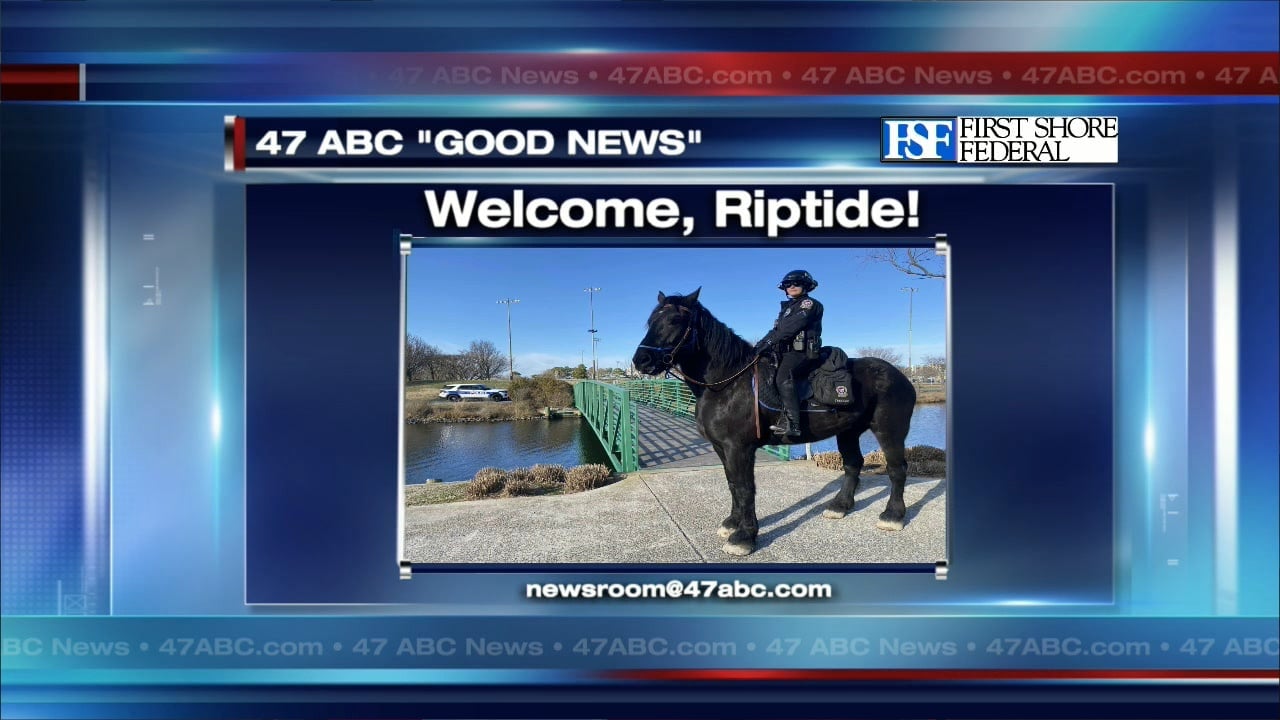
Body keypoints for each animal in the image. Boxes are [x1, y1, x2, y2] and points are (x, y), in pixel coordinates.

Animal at [632, 286, 916, 556]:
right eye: (651, 321)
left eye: (675, 320)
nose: (640, 360)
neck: (727, 383)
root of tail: (901, 376)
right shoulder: (721, 447)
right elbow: (732, 484)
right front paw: (732, 523)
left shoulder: (739, 448)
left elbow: (745, 488)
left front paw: (744, 537)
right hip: (848, 431)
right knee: (853, 465)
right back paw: (840, 506)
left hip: (889, 430)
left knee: (896, 469)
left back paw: (893, 516)